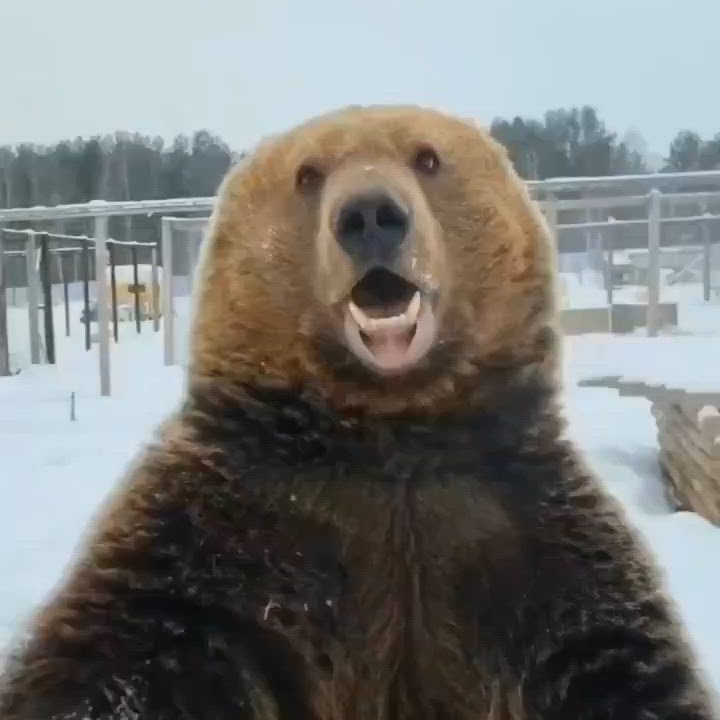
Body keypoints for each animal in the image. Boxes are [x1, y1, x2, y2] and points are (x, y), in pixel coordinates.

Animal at [0, 104, 716, 720]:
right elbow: (128, 650)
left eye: (427, 157)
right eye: (307, 173)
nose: (371, 215)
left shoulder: (525, 532)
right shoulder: (233, 528)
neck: (392, 428)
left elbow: (617, 660)